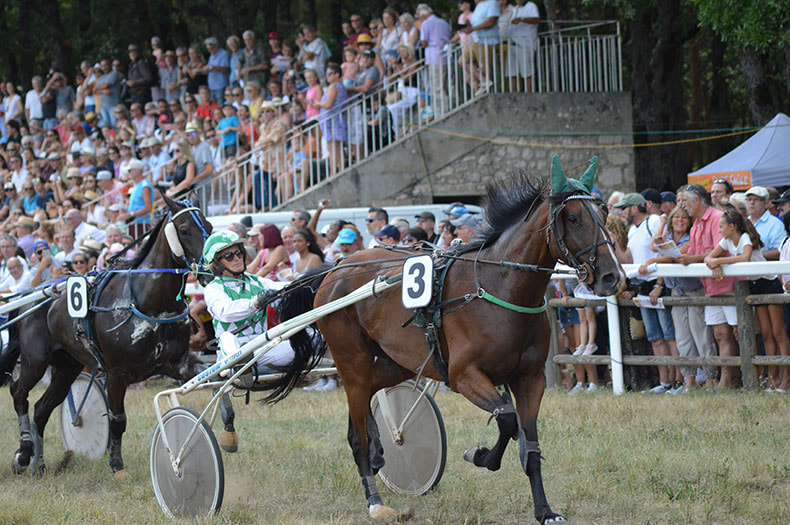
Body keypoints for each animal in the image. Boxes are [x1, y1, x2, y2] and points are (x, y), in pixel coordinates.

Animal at [0, 192, 213, 474]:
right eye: (185, 229)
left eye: (209, 226)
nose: (212, 267)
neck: (147, 302)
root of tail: (32, 294)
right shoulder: (116, 373)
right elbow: (118, 419)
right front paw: (116, 464)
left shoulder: (178, 363)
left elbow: (207, 375)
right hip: (36, 361)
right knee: (18, 393)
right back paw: (24, 453)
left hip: (66, 366)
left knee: (41, 409)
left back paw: (39, 462)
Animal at [276, 156, 628, 520]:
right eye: (572, 218)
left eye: (604, 214)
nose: (612, 276)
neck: (500, 286)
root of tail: (337, 267)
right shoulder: (464, 375)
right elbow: (507, 420)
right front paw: (481, 455)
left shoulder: (530, 379)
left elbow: (529, 445)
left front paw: (545, 511)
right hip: (352, 358)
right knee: (357, 427)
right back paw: (375, 500)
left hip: (397, 360)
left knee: (367, 400)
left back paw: (378, 451)